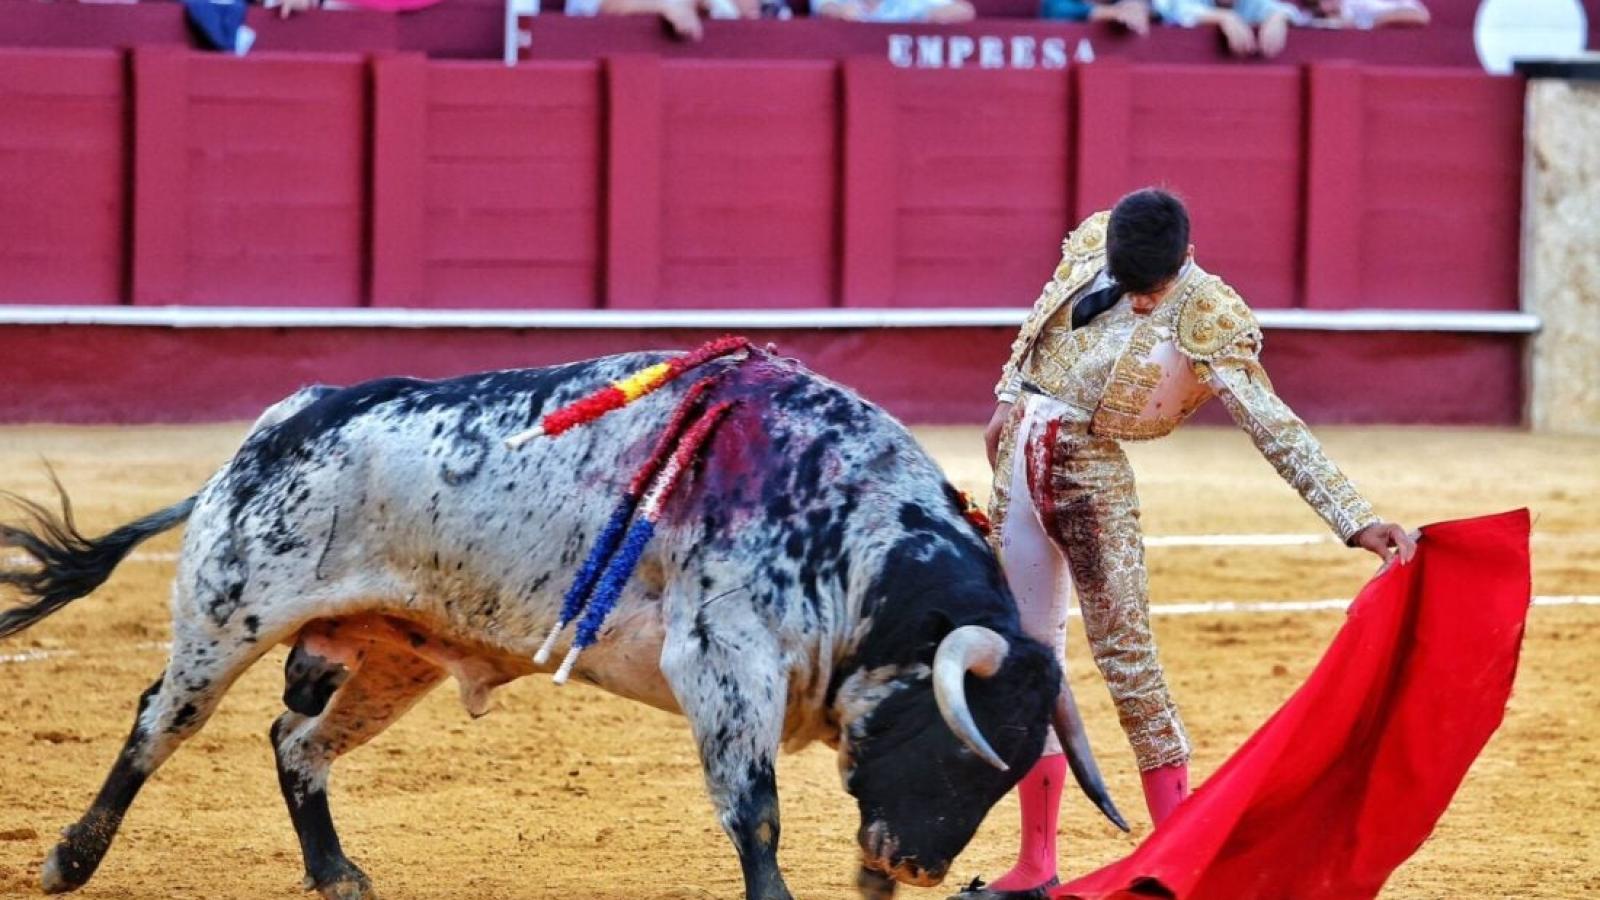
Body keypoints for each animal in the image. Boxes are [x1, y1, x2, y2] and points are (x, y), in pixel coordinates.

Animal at [0, 347, 1126, 896]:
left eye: (1005, 772)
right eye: (957, 745)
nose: (920, 866)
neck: (849, 528)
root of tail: (272, 428)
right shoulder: (725, 661)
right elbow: (756, 816)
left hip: (394, 654)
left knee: (295, 739)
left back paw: (337, 876)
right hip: (228, 611)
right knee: (159, 723)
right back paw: (68, 861)